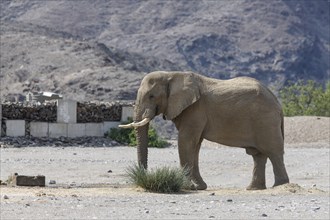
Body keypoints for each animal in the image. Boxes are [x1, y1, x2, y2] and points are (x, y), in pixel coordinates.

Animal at [120, 71, 290, 190]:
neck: (171, 75)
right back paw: (253, 188)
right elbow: (195, 146)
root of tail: (278, 104)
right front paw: (200, 187)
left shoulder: (195, 110)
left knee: (273, 152)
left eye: (152, 96)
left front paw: (187, 187)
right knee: (258, 155)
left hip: (265, 121)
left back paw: (280, 186)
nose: (143, 178)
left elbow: (186, 142)